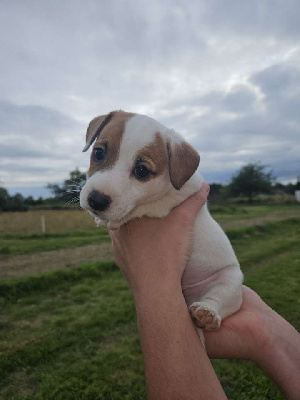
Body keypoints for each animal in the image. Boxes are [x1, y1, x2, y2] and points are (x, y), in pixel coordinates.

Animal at [80, 110, 244, 332]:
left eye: (141, 170)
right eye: (98, 152)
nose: (96, 200)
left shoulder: (169, 202)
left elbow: (142, 207)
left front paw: (113, 220)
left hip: (230, 282)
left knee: (219, 298)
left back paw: (207, 313)